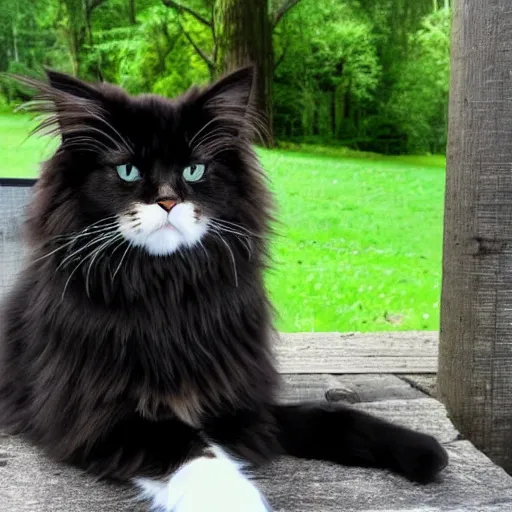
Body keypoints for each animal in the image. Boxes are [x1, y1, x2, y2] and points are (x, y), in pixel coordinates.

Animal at [0, 68, 448, 512]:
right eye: (128, 171)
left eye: (194, 171)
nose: (168, 201)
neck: (167, 291)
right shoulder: (95, 415)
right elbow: (191, 448)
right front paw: (233, 499)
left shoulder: (240, 403)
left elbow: (326, 415)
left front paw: (423, 451)